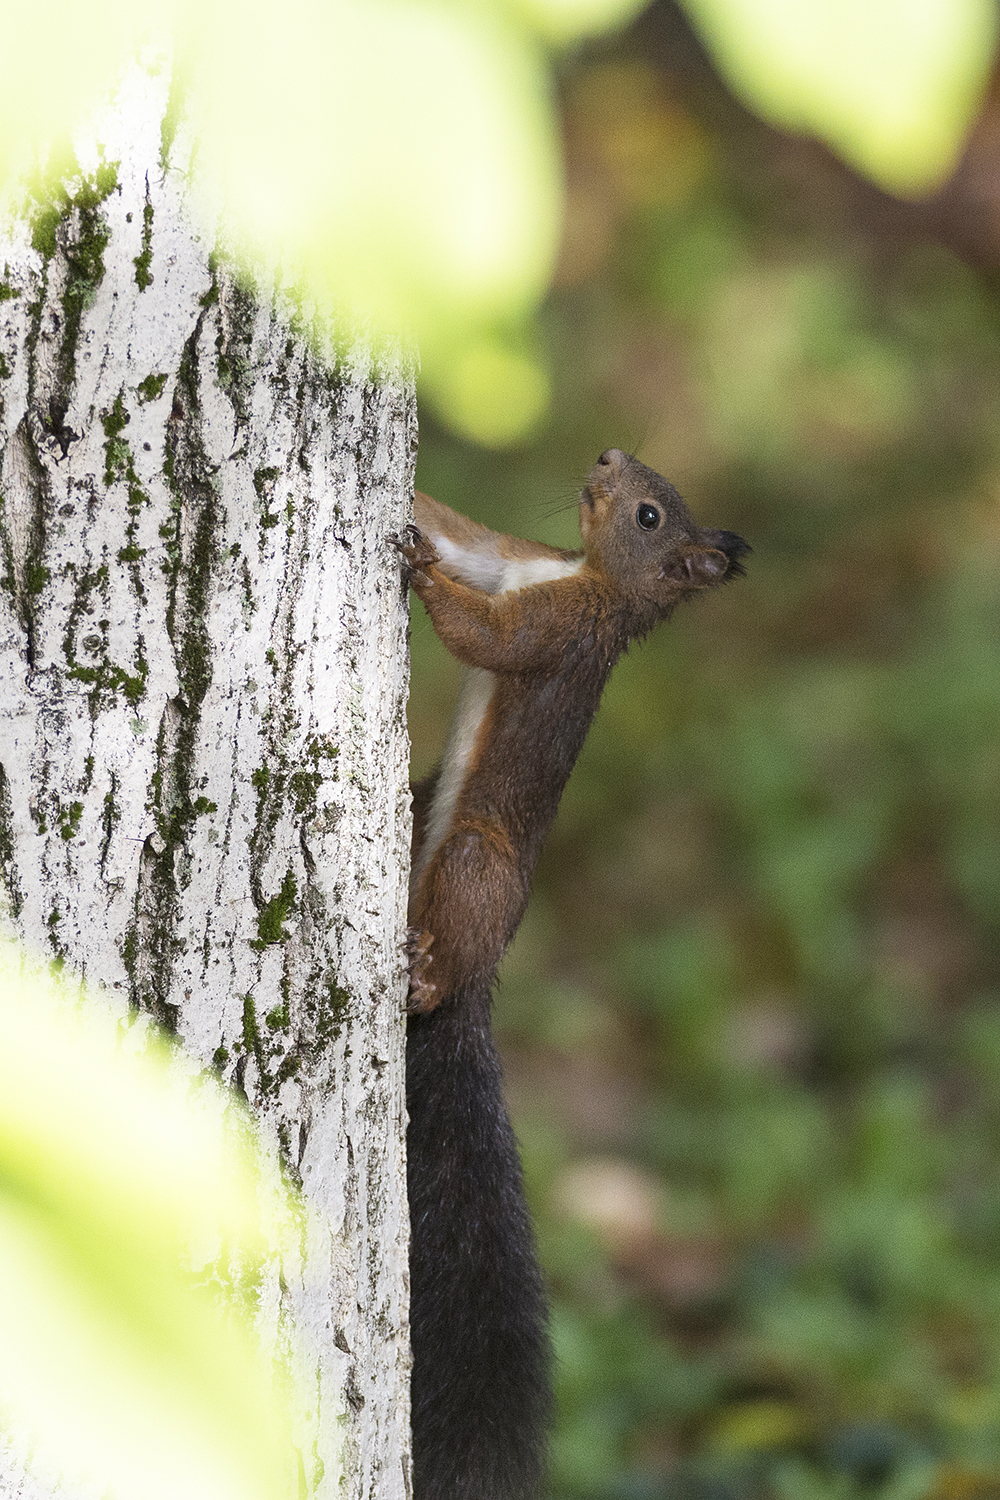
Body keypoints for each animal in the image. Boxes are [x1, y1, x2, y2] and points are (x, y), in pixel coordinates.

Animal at [393, 449, 749, 1500]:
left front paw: (421, 574)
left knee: (458, 926)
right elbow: (465, 533)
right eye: (644, 489)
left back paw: (423, 978)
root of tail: (474, 993)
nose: (606, 457)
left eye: (648, 515)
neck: (580, 571)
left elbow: (491, 637)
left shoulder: (558, 629)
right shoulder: (512, 557)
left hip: (478, 861)